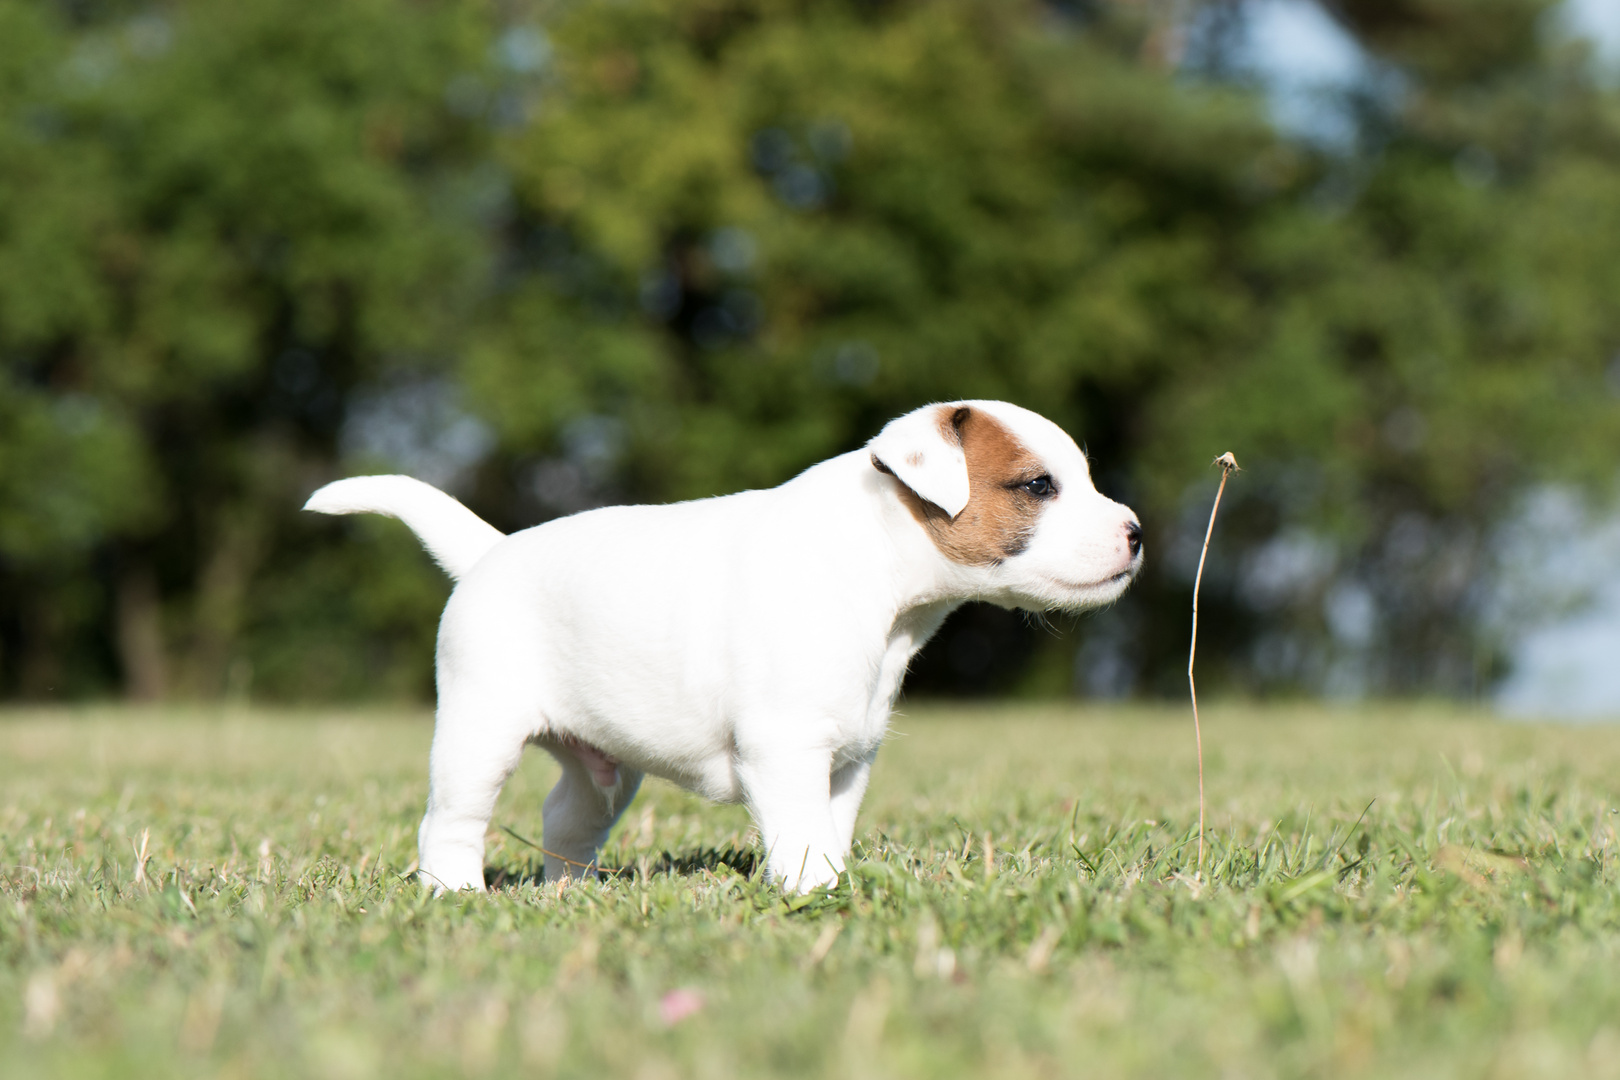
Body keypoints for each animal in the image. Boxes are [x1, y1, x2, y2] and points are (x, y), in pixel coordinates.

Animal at [304, 401, 1140, 893]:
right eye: (1037, 486)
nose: (1136, 533)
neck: (878, 574)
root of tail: (489, 552)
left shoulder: (846, 761)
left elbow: (829, 829)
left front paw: (837, 884)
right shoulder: (786, 748)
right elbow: (801, 838)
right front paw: (815, 897)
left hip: (603, 772)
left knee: (565, 819)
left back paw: (570, 893)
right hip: (479, 737)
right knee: (450, 820)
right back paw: (457, 894)